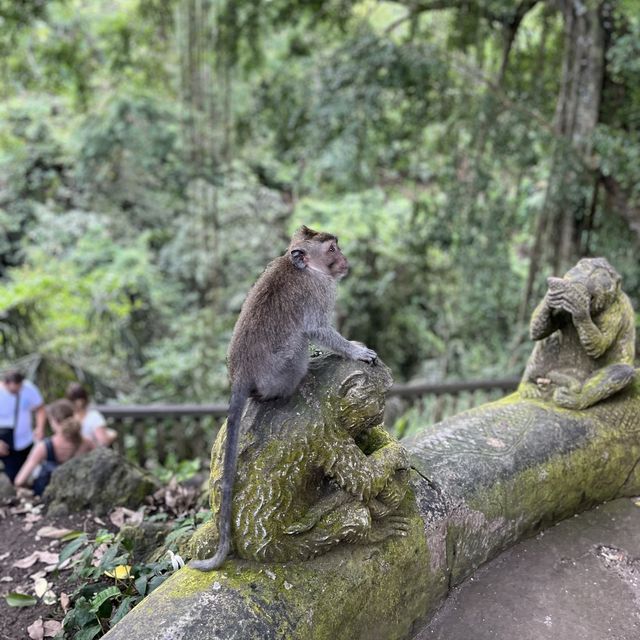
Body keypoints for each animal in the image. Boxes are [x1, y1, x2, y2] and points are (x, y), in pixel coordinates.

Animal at [191, 226, 380, 568]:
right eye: (331, 249)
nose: (344, 260)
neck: (304, 269)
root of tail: (240, 376)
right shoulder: (319, 291)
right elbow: (317, 329)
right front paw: (354, 351)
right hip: (282, 368)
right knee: (299, 341)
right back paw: (301, 378)